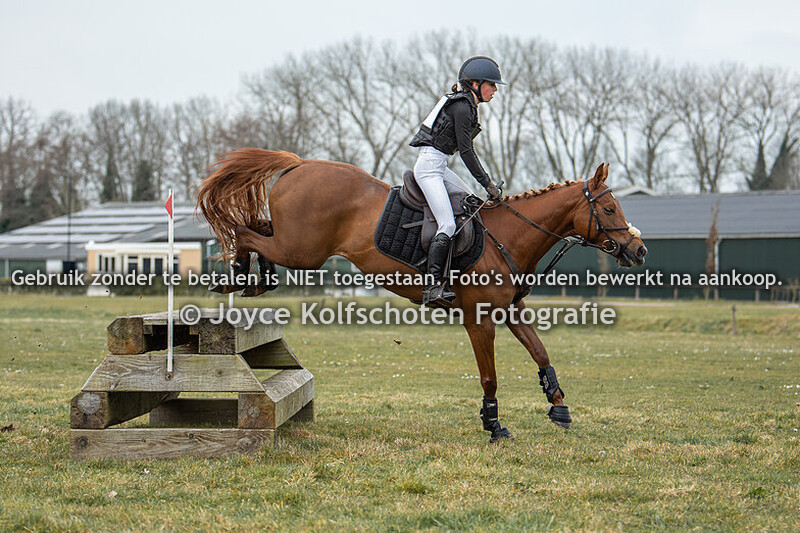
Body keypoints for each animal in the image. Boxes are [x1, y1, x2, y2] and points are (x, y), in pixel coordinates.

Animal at [196, 148, 647, 442]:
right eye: (609, 210)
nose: (639, 250)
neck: (509, 236)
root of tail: (300, 164)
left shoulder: (510, 311)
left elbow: (541, 353)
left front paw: (558, 406)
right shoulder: (479, 320)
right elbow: (489, 375)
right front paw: (494, 425)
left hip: (294, 244)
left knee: (255, 227)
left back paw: (253, 279)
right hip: (302, 250)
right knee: (244, 231)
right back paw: (238, 276)